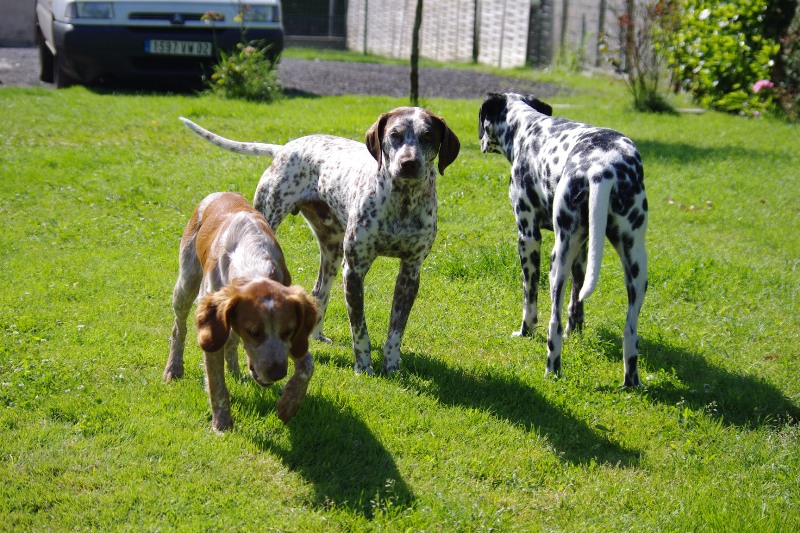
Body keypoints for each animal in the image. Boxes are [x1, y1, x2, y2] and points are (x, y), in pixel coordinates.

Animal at [164, 192, 318, 432]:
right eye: (254, 332)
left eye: (288, 332)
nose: (277, 373)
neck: (252, 262)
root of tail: (220, 193)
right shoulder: (211, 330)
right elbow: (216, 384)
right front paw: (222, 425)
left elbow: (307, 366)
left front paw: (288, 405)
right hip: (185, 283)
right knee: (178, 329)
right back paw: (174, 368)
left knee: (231, 342)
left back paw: (235, 370)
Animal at [478, 90, 648, 382]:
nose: (480, 142)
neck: (527, 127)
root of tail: (602, 168)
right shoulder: (583, 250)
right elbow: (576, 302)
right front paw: (576, 331)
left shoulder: (528, 237)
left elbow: (530, 298)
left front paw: (525, 331)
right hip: (636, 269)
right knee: (630, 334)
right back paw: (631, 381)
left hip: (556, 263)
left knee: (553, 324)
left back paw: (551, 370)